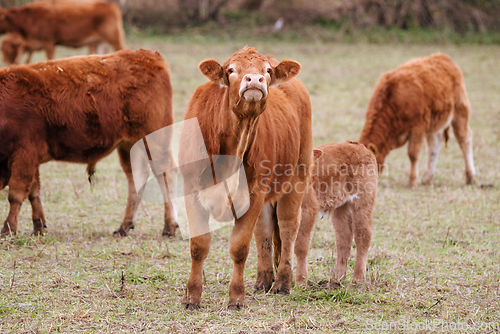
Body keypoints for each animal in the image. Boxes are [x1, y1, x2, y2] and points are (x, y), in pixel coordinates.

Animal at [0, 49, 179, 237]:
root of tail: (148, 55)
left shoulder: (25, 155)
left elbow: (16, 194)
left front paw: (8, 228)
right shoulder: (31, 159)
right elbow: (34, 193)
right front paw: (38, 226)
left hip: (155, 142)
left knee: (166, 174)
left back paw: (169, 226)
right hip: (129, 146)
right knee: (136, 178)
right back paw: (124, 226)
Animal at [180, 47, 312, 310]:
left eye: (268, 71)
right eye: (231, 70)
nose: (255, 80)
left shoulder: (254, 192)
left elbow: (239, 247)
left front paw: (237, 297)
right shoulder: (191, 188)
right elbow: (199, 245)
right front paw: (192, 297)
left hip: (297, 177)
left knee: (288, 227)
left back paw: (282, 283)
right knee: (264, 231)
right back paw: (263, 280)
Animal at [292, 142, 376, 286]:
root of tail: (360, 146)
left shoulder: (307, 208)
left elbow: (300, 245)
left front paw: (300, 281)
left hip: (363, 202)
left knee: (363, 235)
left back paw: (358, 278)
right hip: (341, 207)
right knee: (344, 238)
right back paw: (338, 278)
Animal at [358, 53, 474, 187]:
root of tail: (442, 56)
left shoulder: (418, 127)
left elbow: (413, 154)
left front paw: (412, 181)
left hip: (460, 111)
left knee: (464, 139)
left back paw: (470, 177)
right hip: (435, 123)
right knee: (434, 146)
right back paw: (427, 178)